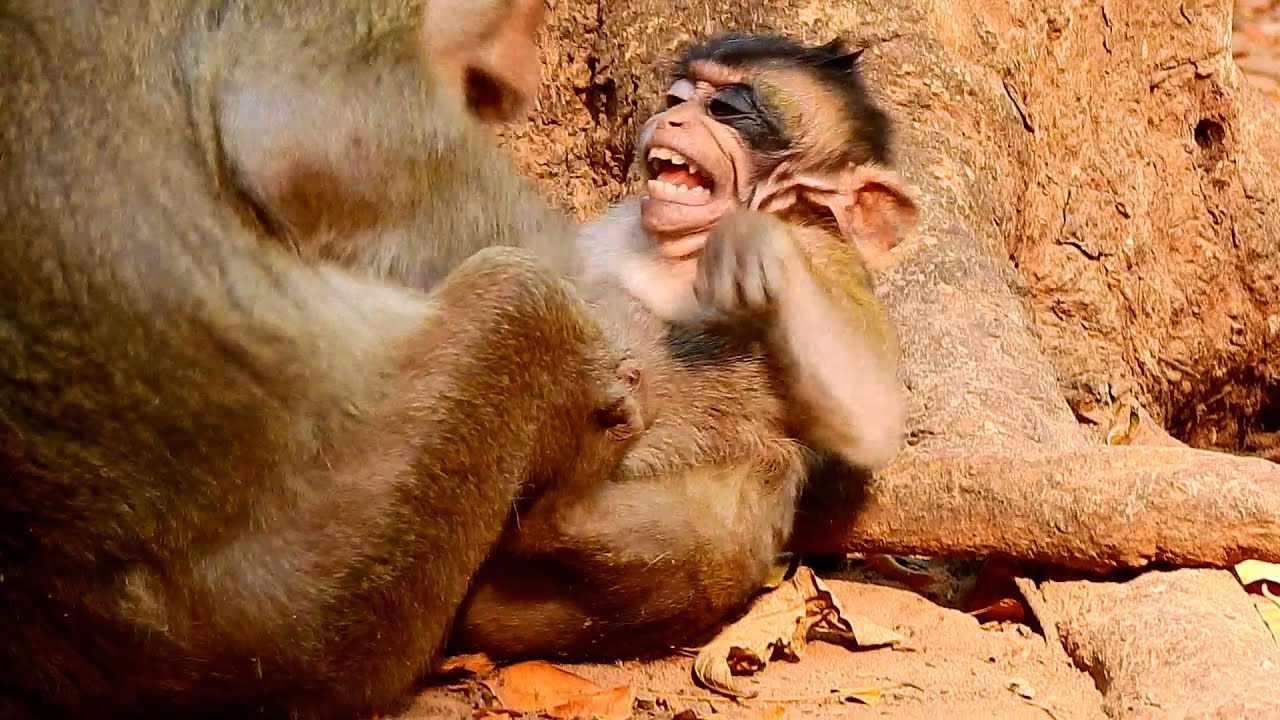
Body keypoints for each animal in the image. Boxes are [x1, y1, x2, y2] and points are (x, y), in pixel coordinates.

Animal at [454, 33, 919, 661]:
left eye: (728, 109)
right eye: (679, 96)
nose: (673, 117)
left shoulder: (829, 258)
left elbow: (869, 420)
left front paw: (752, 239)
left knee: (710, 540)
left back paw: (568, 501)